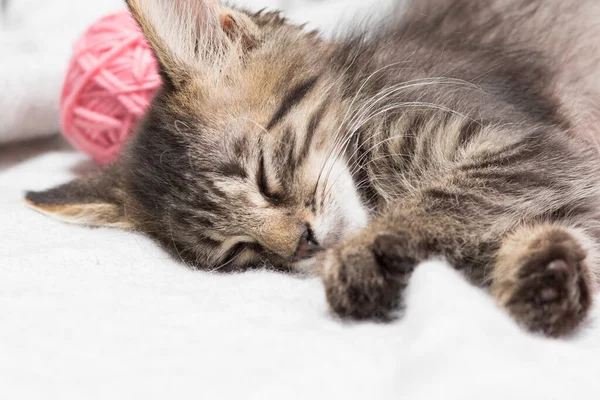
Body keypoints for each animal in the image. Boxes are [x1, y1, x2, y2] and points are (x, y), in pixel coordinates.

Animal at [25, 0, 600, 338]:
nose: (301, 245)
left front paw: (362, 256)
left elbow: (445, 198)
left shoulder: (529, 146)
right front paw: (544, 273)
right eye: (240, 252)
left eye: (263, 175)